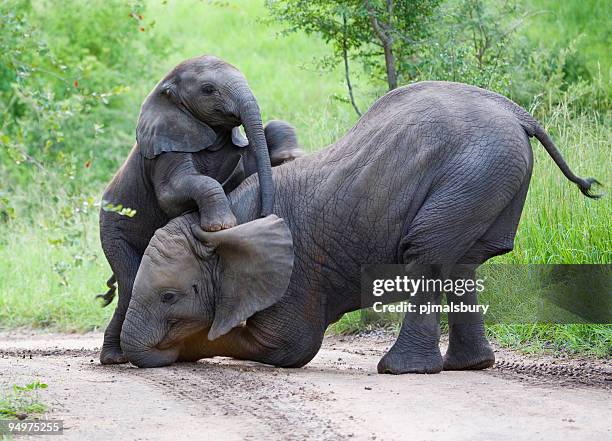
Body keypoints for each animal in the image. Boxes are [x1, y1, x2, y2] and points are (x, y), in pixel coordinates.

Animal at [97, 54, 304, 364]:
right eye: (208, 89)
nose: (265, 213)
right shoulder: (166, 150)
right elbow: (173, 194)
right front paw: (221, 226)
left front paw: (292, 157)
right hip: (112, 231)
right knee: (129, 282)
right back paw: (114, 359)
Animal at [118, 80, 596, 372]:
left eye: (170, 296)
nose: (141, 354)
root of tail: (517, 112)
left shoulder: (295, 277)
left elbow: (288, 345)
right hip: (492, 175)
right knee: (464, 262)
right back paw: (468, 366)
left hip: (475, 171)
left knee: (428, 253)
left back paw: (401, 370)